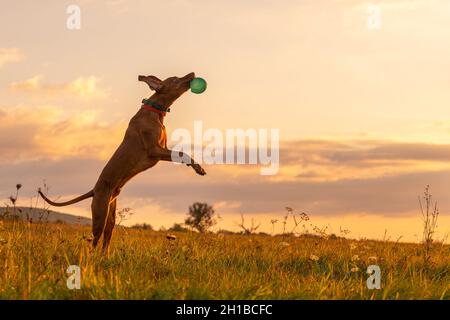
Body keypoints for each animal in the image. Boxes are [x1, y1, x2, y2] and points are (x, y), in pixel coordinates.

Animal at [38, 72, 206, 250]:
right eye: (175, 79)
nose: (193, 73)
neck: (154, 111)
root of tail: (94, 190)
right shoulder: (154, 150)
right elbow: (182, 153)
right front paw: (198, 168)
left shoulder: (162, 150)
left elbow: (180, 153)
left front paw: (197, 167)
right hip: (100, 215)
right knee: (94, 242)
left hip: (110, 218)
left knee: (105, 242)